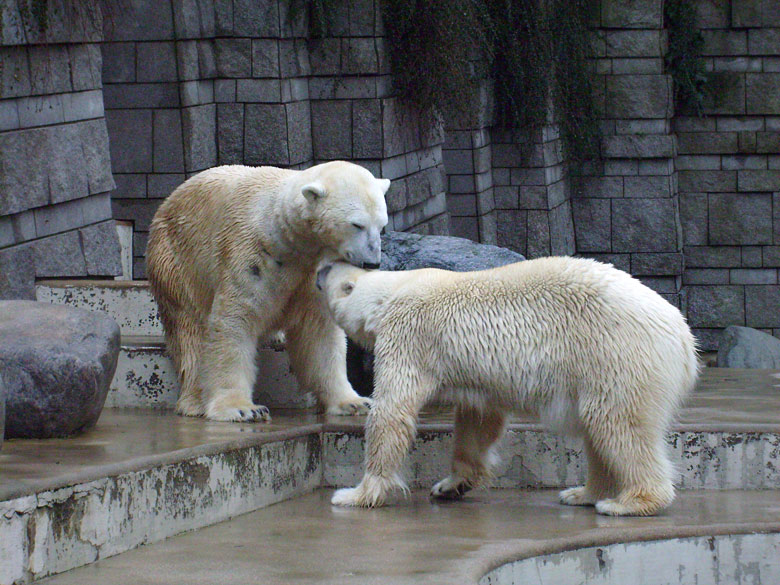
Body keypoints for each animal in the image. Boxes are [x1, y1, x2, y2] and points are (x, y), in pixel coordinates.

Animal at [145, 162, 388, 422]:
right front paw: (242, 408)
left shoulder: (314, 272)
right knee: (190, 332)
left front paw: (355, 402)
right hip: (176, 263)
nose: (373, 262)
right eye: (357, 224)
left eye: (381, 225)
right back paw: (194, 402)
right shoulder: (252, 258)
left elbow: (320, 334)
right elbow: (235, 323)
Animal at [318, 256, 700, 516]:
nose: (321, 268)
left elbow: (392, 411)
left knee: (619, 425)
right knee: (600, 432)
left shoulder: (409, 334)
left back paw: (630, 502)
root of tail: (684, 338)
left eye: (338, 273)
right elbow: (478, 419)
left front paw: (355, 494)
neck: (394, 290)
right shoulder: (474, 375)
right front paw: (451, 485)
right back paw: (582, 493)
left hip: (615, 356)